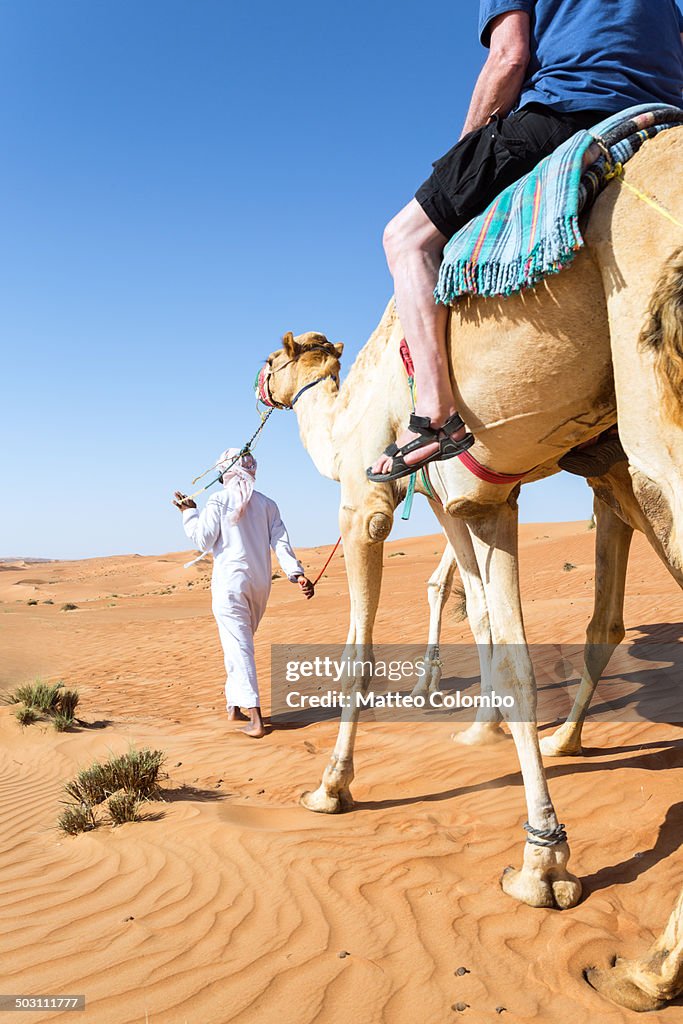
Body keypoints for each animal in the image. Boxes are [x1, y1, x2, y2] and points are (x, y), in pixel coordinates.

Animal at [260, 130, 683, 1007]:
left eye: (273, 361)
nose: (258, 386)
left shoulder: (372, 499)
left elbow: (364, 649)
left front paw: (332, 787)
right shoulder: (477, 498)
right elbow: (494, 625)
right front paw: (517, 804)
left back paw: (653, 966)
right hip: (618, 468)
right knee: (603, 615)